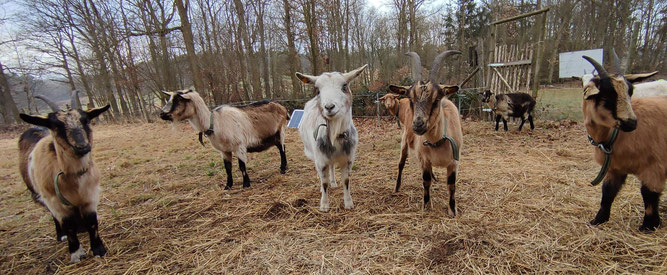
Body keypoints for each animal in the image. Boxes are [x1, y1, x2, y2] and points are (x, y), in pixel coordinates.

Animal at [17, 91, 109, 264]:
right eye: (57, 125)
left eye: (85, 120)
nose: (82, 146)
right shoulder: (54, 200)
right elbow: (67, 224)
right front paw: (76, 253)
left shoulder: (90, 196)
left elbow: (92, 222)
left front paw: (99, 250)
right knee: (55, 217)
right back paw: (61, 235)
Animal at [160, 89, 290, 191]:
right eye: (170, 98)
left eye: (178, 100)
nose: (162, 114)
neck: (213, 123)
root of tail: (281, 107)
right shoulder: (224, 151)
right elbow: (227, 168)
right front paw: (228, 186)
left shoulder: (239, 146)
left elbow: (242, 166)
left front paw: (246, 184)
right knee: (281, 147)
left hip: (280, 131)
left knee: (282, 149)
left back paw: (283, 169)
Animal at [298, 64, 370, 213]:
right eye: (317, 90)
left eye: (344, 86)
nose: (329, 107)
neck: (335, 135)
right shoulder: (320, 159)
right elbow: (324, 182)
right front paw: (324, 205)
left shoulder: (348, 159)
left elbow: (346, 181)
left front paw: (348, 203)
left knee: (331, 167)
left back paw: (334, 182)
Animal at [388, 50, 462, 217]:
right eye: (411, 99)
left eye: (437, 99)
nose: (418, 125)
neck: (437, 142)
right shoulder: (424, 159)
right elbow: (425, 181)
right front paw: (427, 205)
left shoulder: (454, 162)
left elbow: (451, 185)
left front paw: (452, 210)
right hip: (404, 142)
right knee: (401, 164)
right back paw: (396, 187)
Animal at [580, 52, 667, 232]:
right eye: (605, 94)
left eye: (630, 92)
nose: (631, 123)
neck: (614, 136)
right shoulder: (615, 168)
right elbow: (607, 193)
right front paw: (597, 220)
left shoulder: (656, 167)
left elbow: (648, 194)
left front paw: (649, 226)